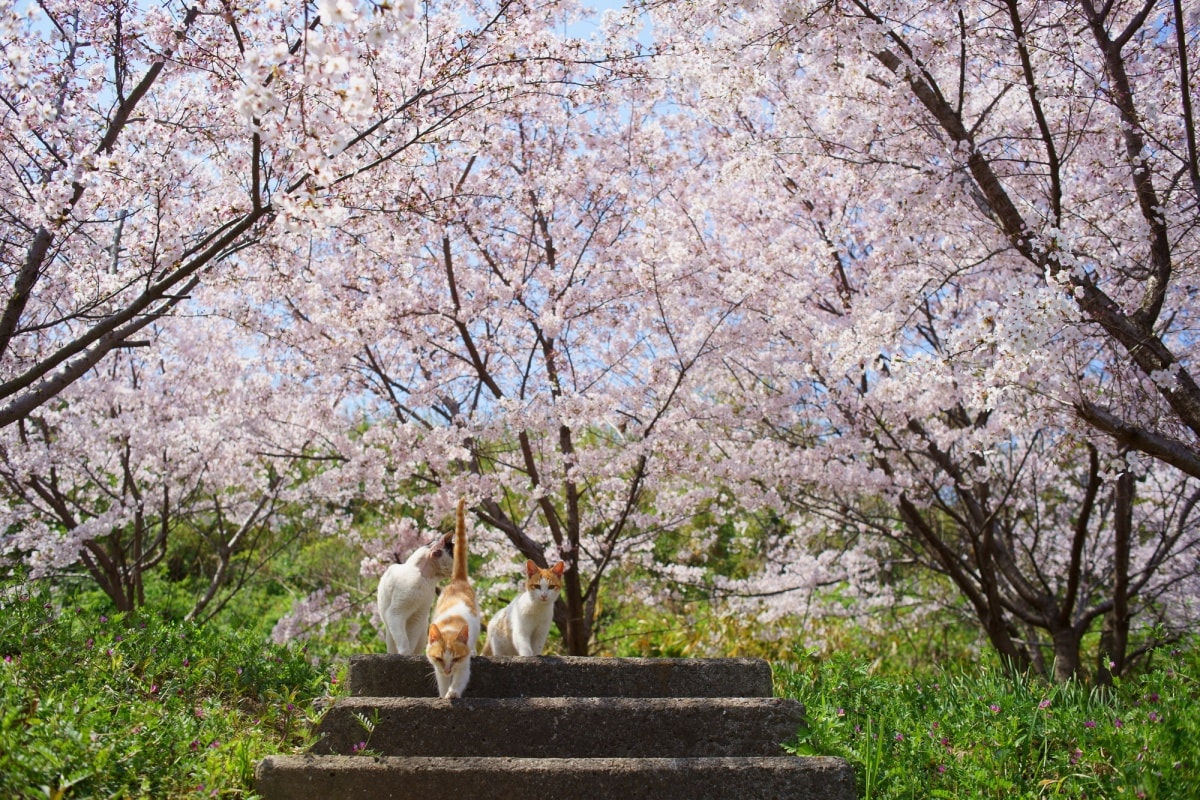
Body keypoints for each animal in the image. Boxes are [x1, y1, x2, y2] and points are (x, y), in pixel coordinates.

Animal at [422, 501, 477, 700]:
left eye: (455, 658)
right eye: (439, 658)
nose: (447, 670)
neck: (450, 625)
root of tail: (457, 580)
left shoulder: (464, 664)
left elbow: (460, 678)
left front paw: (452, 693)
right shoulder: (436, 668)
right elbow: (441, 681)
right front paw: (444, 692)